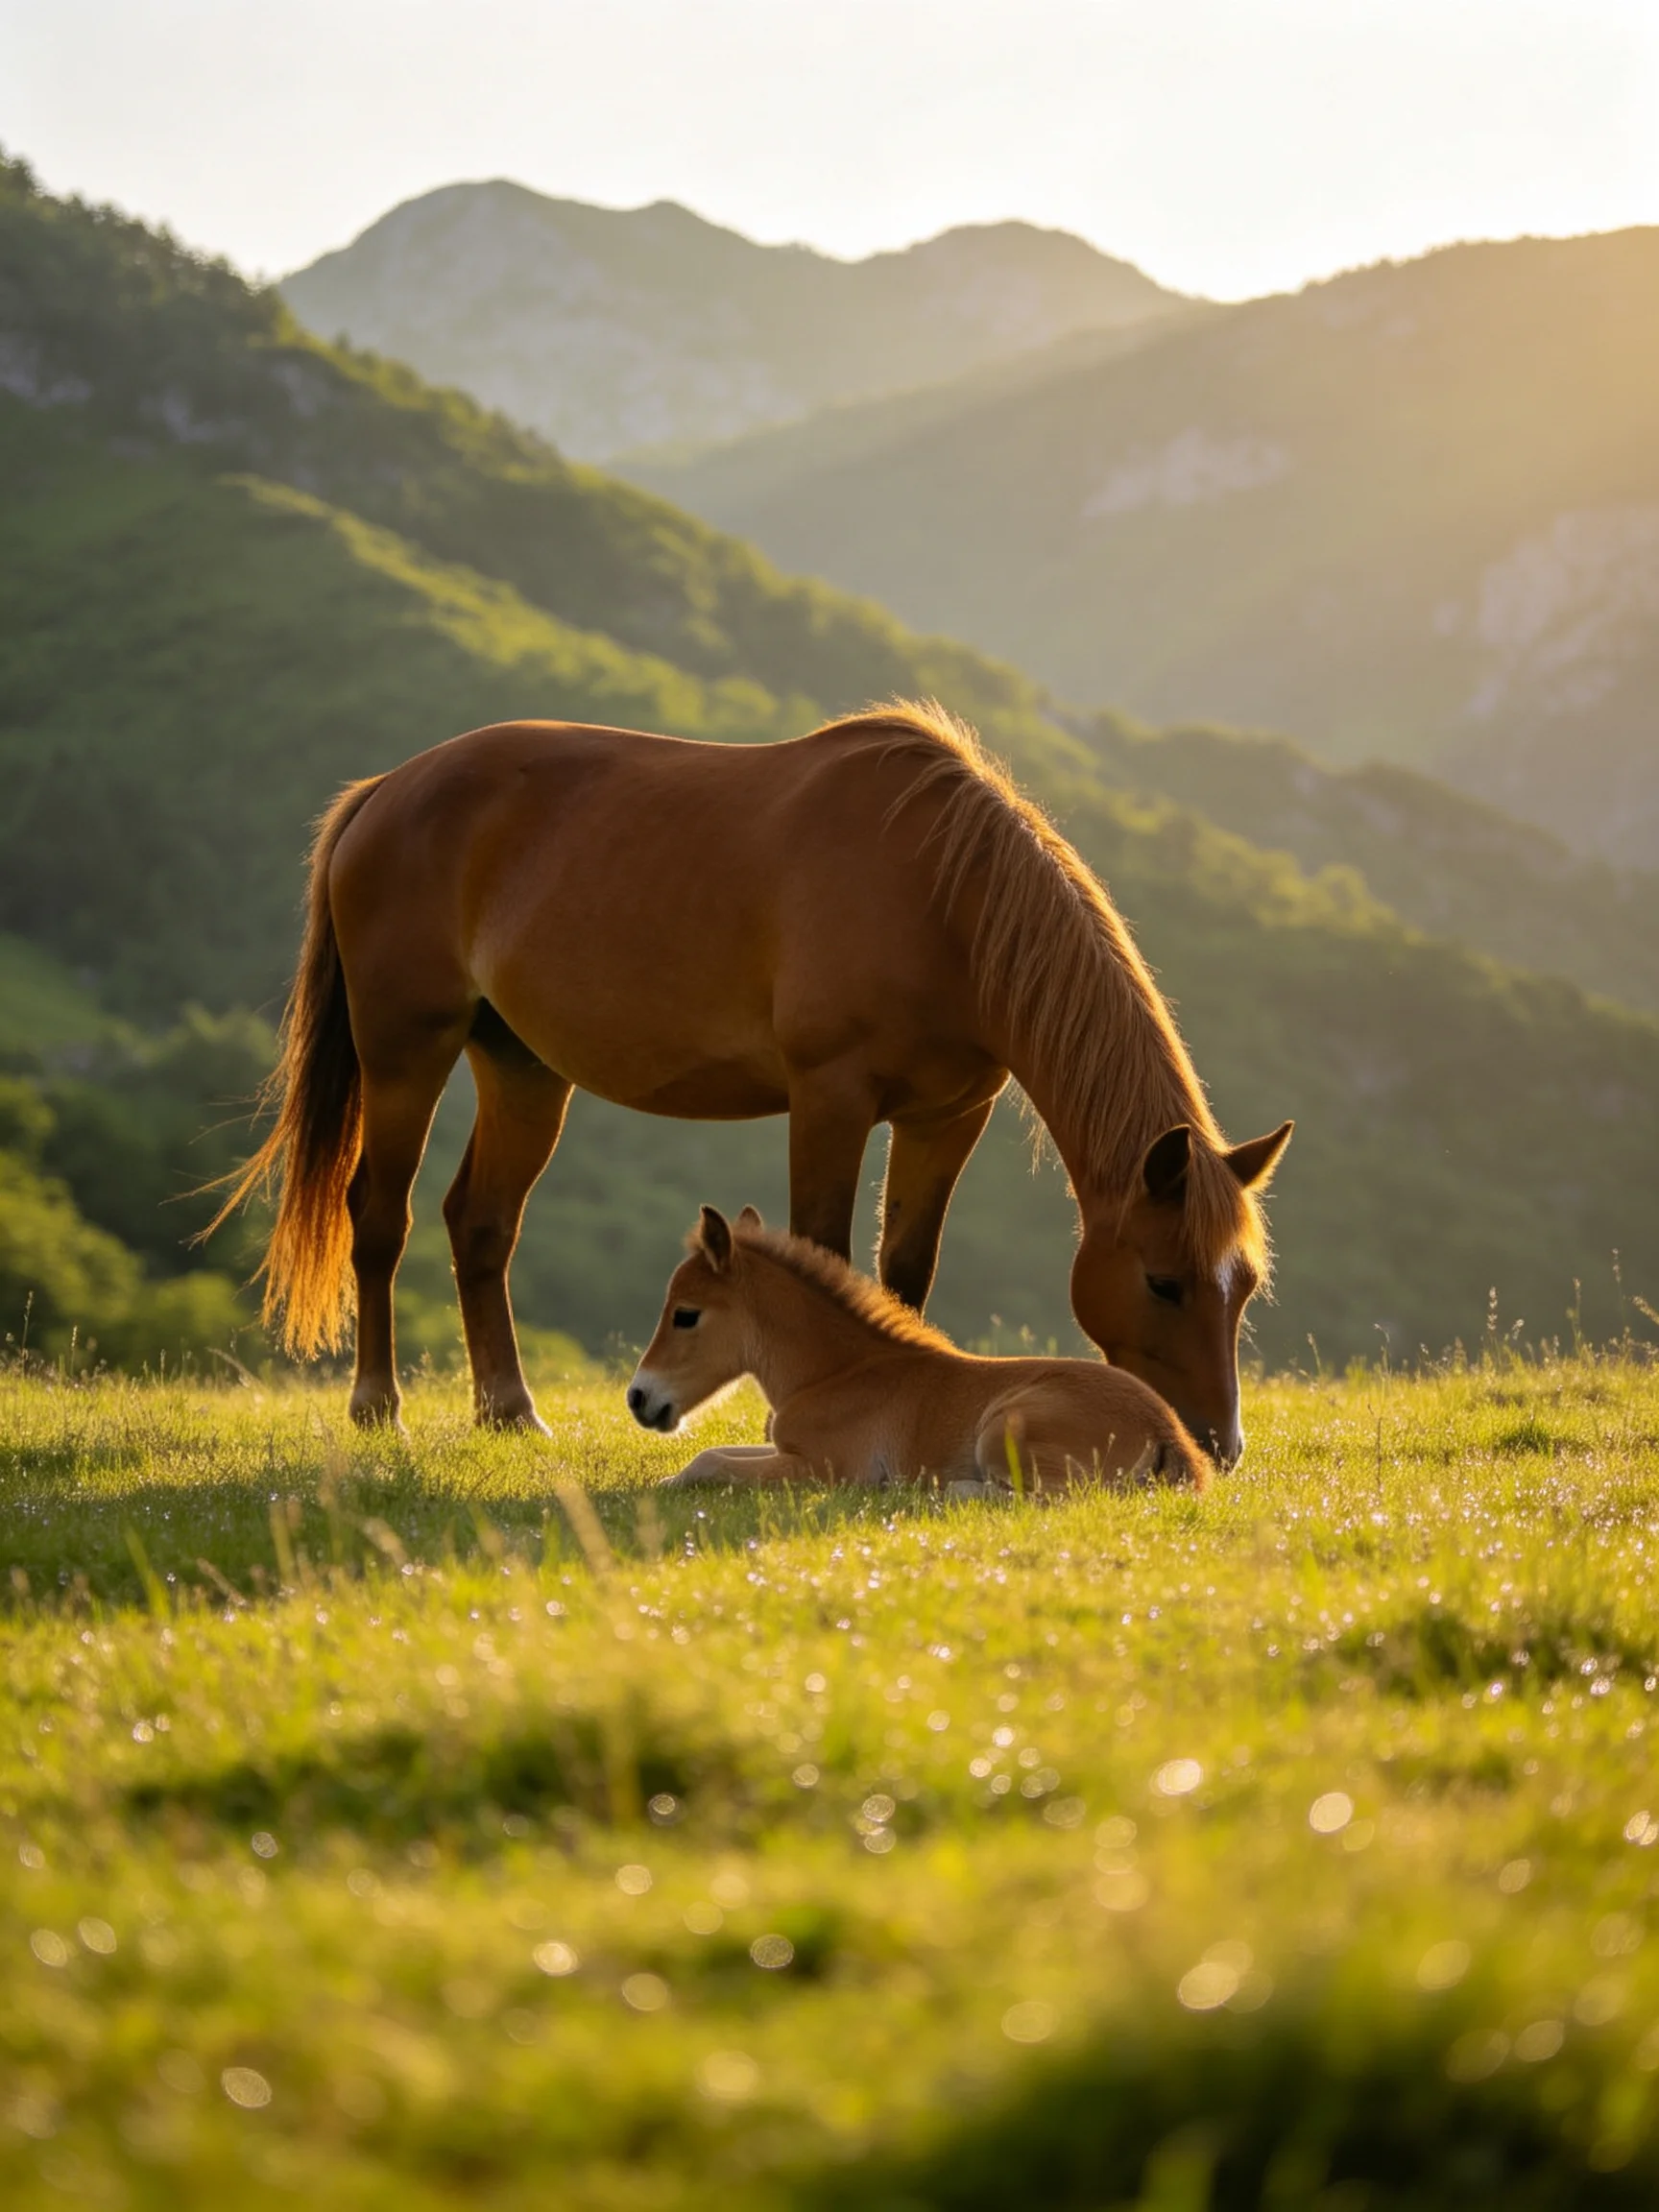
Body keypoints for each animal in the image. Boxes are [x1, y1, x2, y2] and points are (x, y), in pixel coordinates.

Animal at [214, 700, 1290, 1460]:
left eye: (1243, 1288)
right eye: (1162, 1281)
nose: (1218, 1446)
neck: (941, 900)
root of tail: (385, 789)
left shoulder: (948, 1116)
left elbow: (904, 1271)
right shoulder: (830, 1100)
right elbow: (825, 1251)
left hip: (521, 1069)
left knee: (479, 1224)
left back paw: (510, 1413)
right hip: (408, 1052)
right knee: (378, 1216)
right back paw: (377, 1407)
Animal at [630, 1205, 1208, 1494]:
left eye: (685, 1314)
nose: (638, 1398)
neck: (838, 1374)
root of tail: (1167, 1432)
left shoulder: (828, 1467)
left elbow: (713, 1464)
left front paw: (664, 1484)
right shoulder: (788, 1450)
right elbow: (712, 1453)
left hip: (1002, 1431)